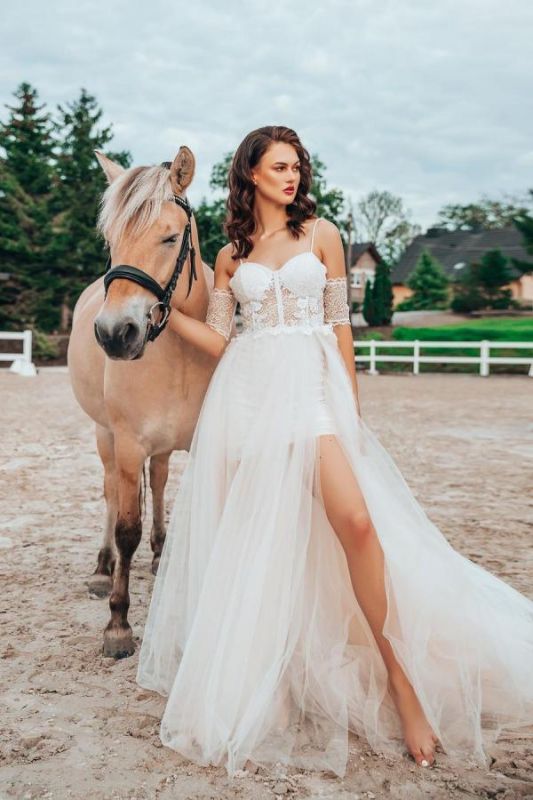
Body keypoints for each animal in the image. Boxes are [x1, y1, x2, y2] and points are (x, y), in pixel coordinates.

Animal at [67, 147, 227, 660]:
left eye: (171, 236)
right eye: (111, 240)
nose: (115, 334)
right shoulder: (128, 443)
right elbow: (126, 528)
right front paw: (118, 625)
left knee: (156, 485)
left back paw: (160, 556)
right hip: (105, 436)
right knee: (111, 494)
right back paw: (102, 570)